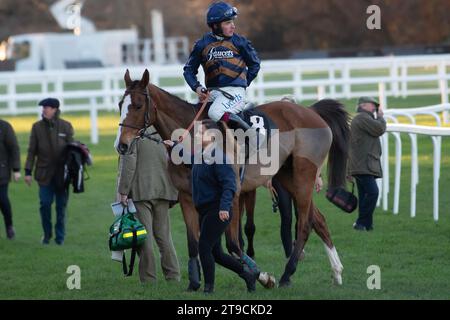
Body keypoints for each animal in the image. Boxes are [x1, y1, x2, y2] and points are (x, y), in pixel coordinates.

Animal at [115, 70, 348, 290]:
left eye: (137, 105)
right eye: (119, 105)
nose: (122, 145)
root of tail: (311, 111)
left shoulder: (232, 195)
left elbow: (233, 244)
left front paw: (261, 277)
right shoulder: (187, 196)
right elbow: (195, 242)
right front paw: (194, 282)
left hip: (303, 175)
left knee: (305, 224)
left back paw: (287, 275)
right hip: (287, 176)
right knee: (318, 220)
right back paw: (336, 271)